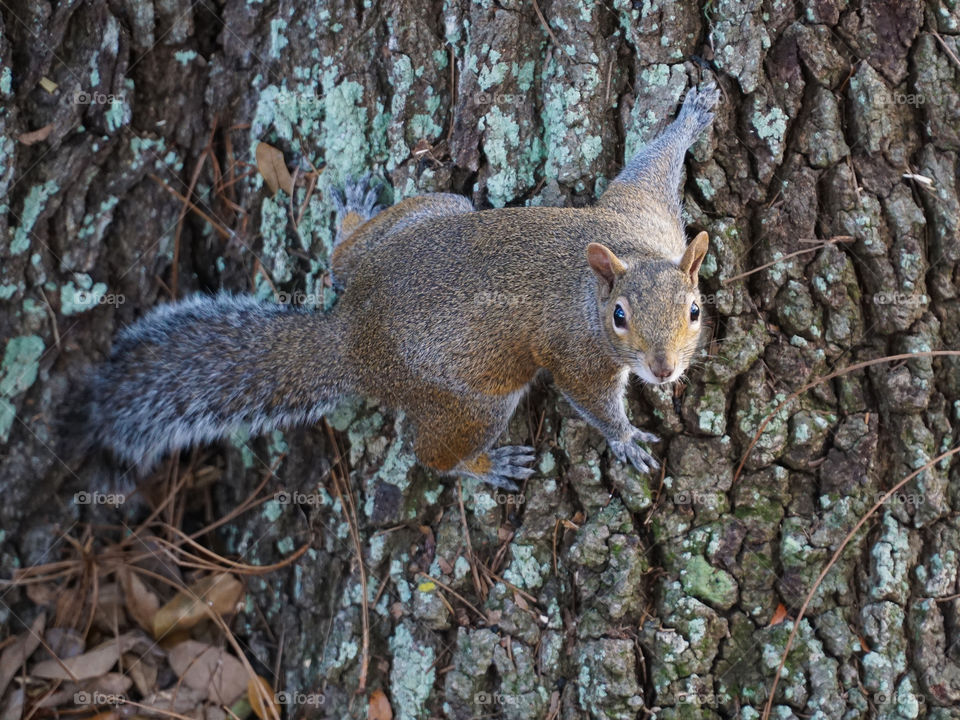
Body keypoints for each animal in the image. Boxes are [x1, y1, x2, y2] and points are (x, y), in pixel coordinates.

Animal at [79, 81, 716, 492]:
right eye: (619, 317)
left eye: (694, 310)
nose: (662, 370)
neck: (626, 257)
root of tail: (351, 335)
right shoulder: (579, 354)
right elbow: (590, 399)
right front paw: (624, 437)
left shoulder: (647, 213)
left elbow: (650, 164)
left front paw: (693, 115)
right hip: (473, 399)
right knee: (429, 454)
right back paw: (484, 468)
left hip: (431, 214)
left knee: (341, 262)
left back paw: (352, 219)